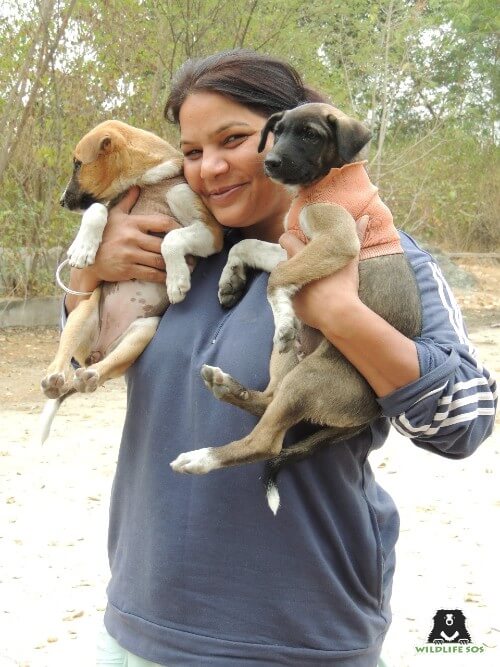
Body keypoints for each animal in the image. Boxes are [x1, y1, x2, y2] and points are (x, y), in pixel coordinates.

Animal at [40, 122, 224, 440]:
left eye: (77, 164)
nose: (62, 201)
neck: (151, 182)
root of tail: (99, 350)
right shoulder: (113, 207)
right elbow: (98, 209)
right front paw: (82, 249)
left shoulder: (210, 231)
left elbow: (172, 238)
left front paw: (176, 281)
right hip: (83, 313)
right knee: (63, 356)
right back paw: (54, 377)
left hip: (144, 331)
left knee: (102, 370)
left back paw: (89, 375)